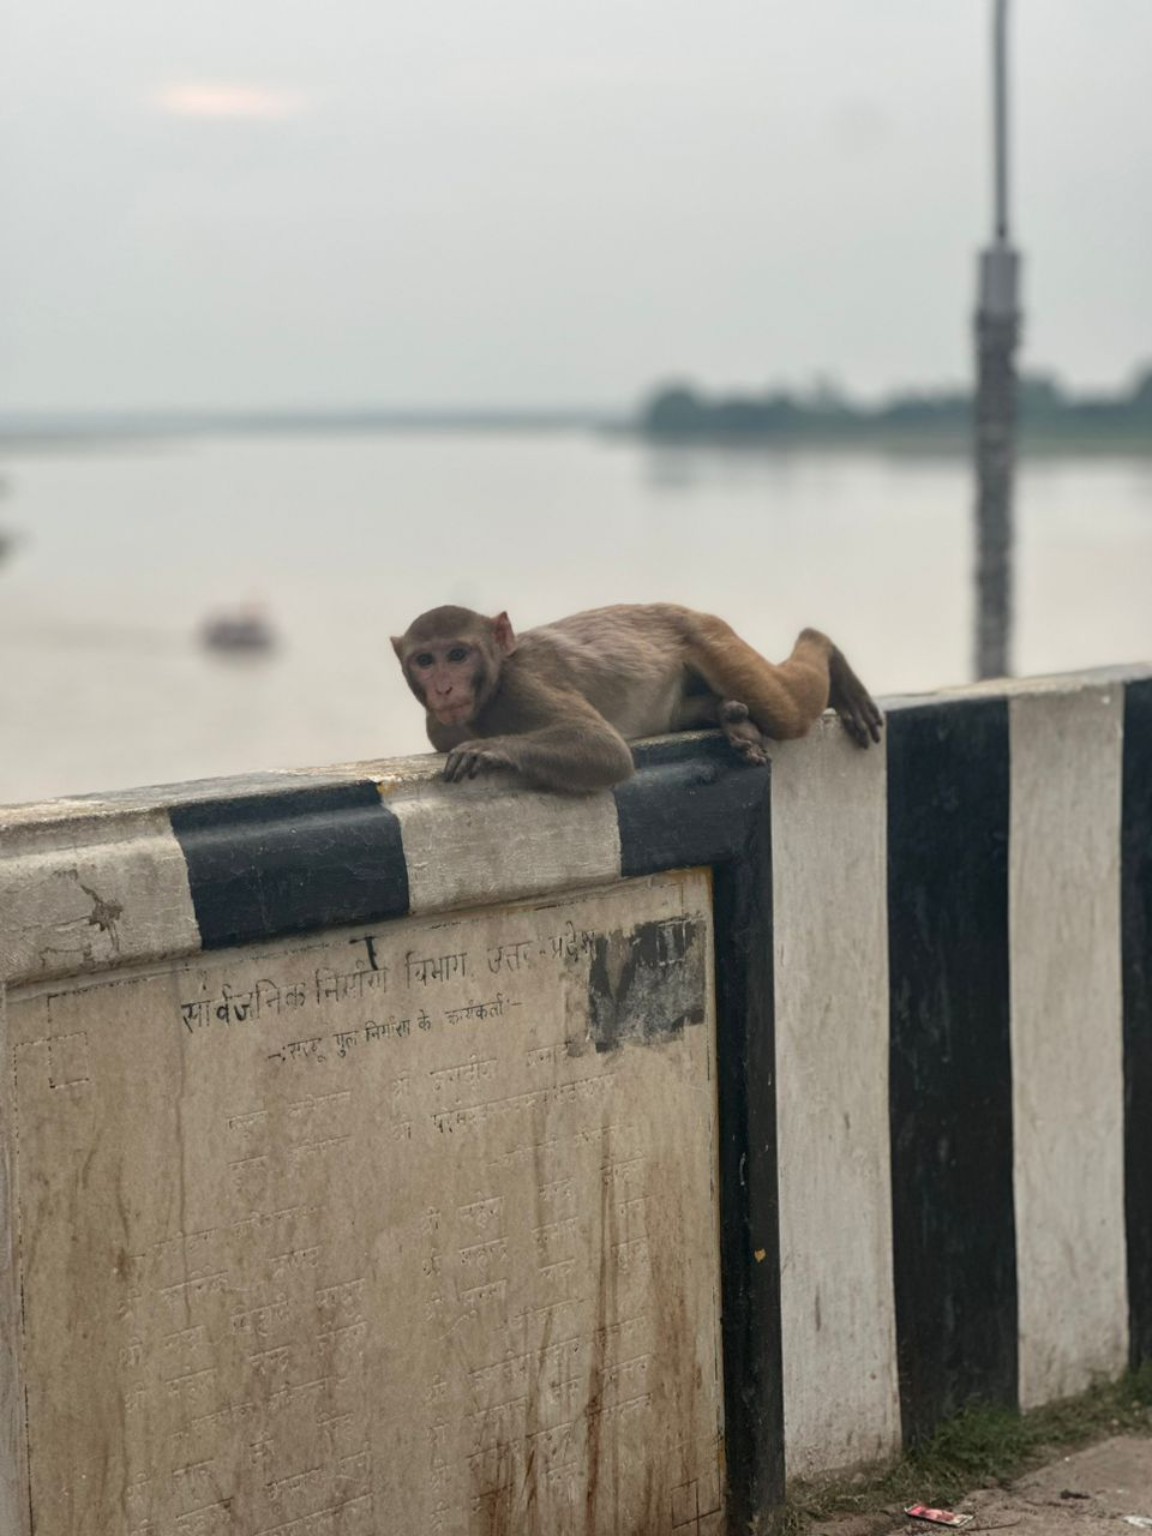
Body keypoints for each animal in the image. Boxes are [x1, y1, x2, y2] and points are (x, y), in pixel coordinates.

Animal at [392, 603, 883, 795]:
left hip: (713, 640)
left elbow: (604, 749)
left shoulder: (521, 687)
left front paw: (486, 749)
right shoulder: (438, 724)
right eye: (425, 660)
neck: (490, 689)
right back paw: (730, 717)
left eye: (458, 655)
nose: (443, 687)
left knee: (787, 711)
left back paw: (826, 651)